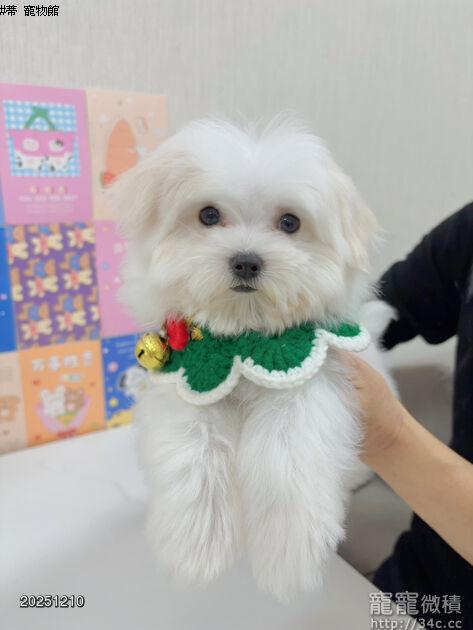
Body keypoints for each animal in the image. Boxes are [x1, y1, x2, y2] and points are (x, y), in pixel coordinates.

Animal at [113, 117, 392, 601]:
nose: (246, 261)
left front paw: (287, 557)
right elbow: (193, 449)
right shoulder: (190, 376)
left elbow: (286, 455)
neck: (241, 339)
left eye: (290, 222)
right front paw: (197, 548)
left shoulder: (306, 374)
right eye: (208, 215)